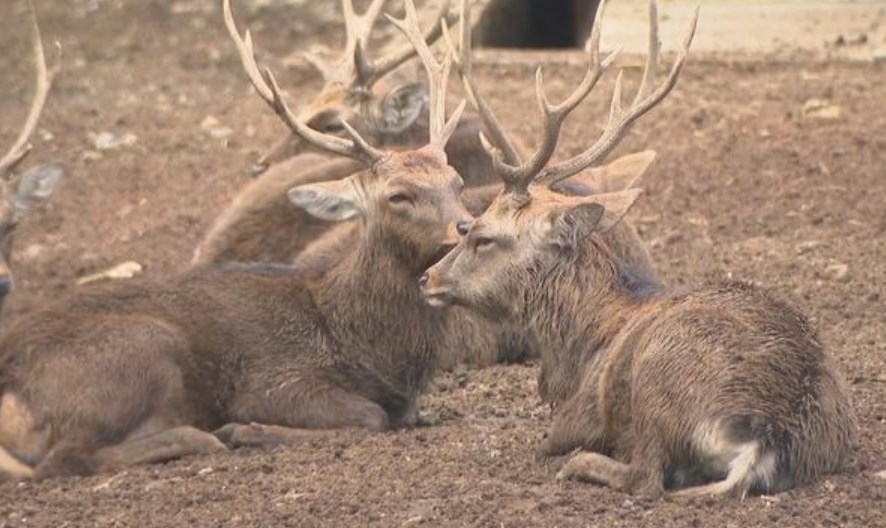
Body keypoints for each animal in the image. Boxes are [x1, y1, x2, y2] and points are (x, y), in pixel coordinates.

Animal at [0, 0, 472, 482]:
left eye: (457, 182)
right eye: (398, 195)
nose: (466, 227)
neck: (374, 352)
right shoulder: (274, 380)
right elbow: (369, 415)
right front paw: (249, 429)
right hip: (142, 346)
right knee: (64, 460)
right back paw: (207, 436)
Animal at [424, 0, 860, 498]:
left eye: (480, 235)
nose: (427, 277)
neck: (577, 348)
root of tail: (768, 436)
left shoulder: (576, 416)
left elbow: (549, 442)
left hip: (655, 376)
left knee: (646, 476)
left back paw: (581, 464)